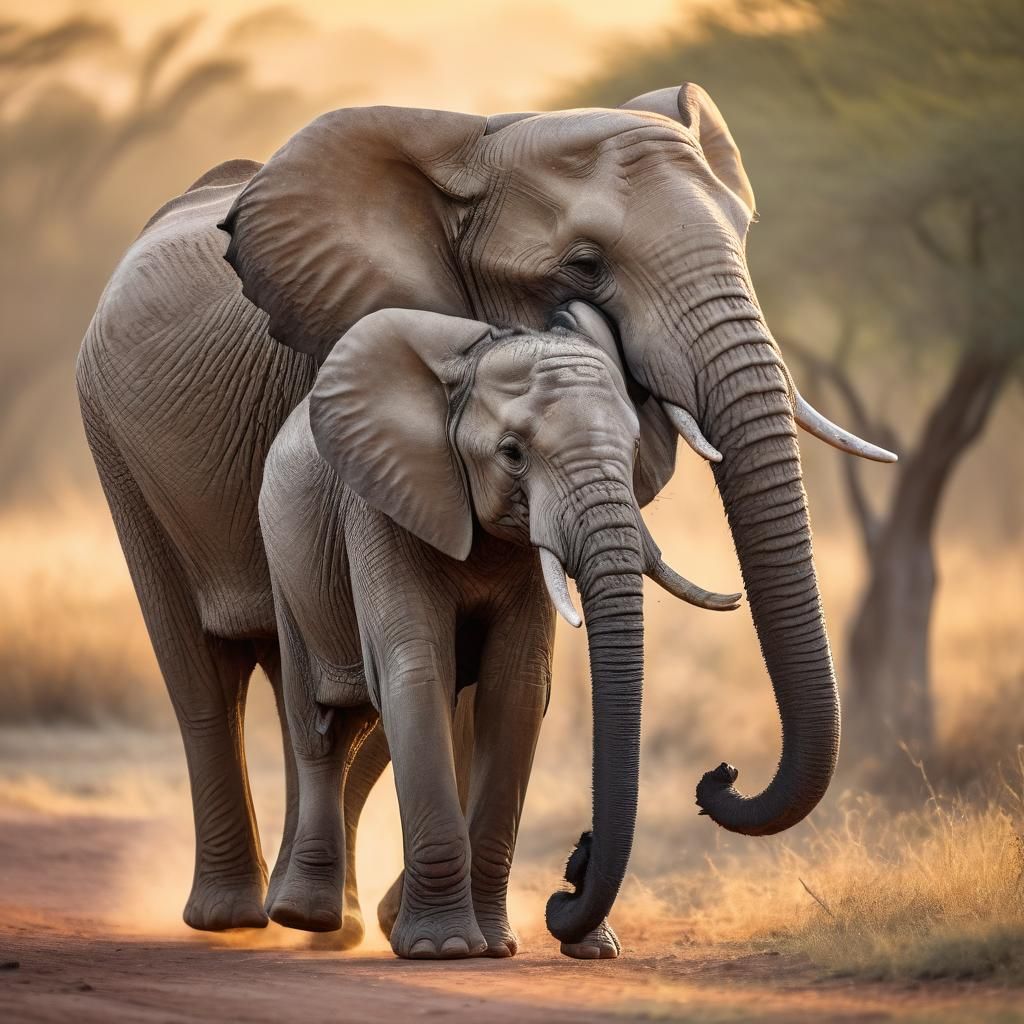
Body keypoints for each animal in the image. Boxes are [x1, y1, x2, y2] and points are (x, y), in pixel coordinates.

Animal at [258, 302, 738, 958]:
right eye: (512, 453)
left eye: (636, 444)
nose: (575, 865)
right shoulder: (383, 507)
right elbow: (417, 671)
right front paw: (441, 949)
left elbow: (516, 688)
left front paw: (493, 946)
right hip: (281, 559)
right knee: (319, 726)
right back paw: (307, 916)